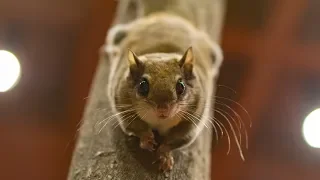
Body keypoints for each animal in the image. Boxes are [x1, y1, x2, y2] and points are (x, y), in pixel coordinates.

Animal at [105, 12, 222, 172]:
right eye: (143, 86)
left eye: (181, 86)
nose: (163, 109)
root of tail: (167, 16)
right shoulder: (122, 104)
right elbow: (135, 126)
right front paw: (147, 139)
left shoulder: (193, 119)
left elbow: (177, 139)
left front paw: (164, 154)